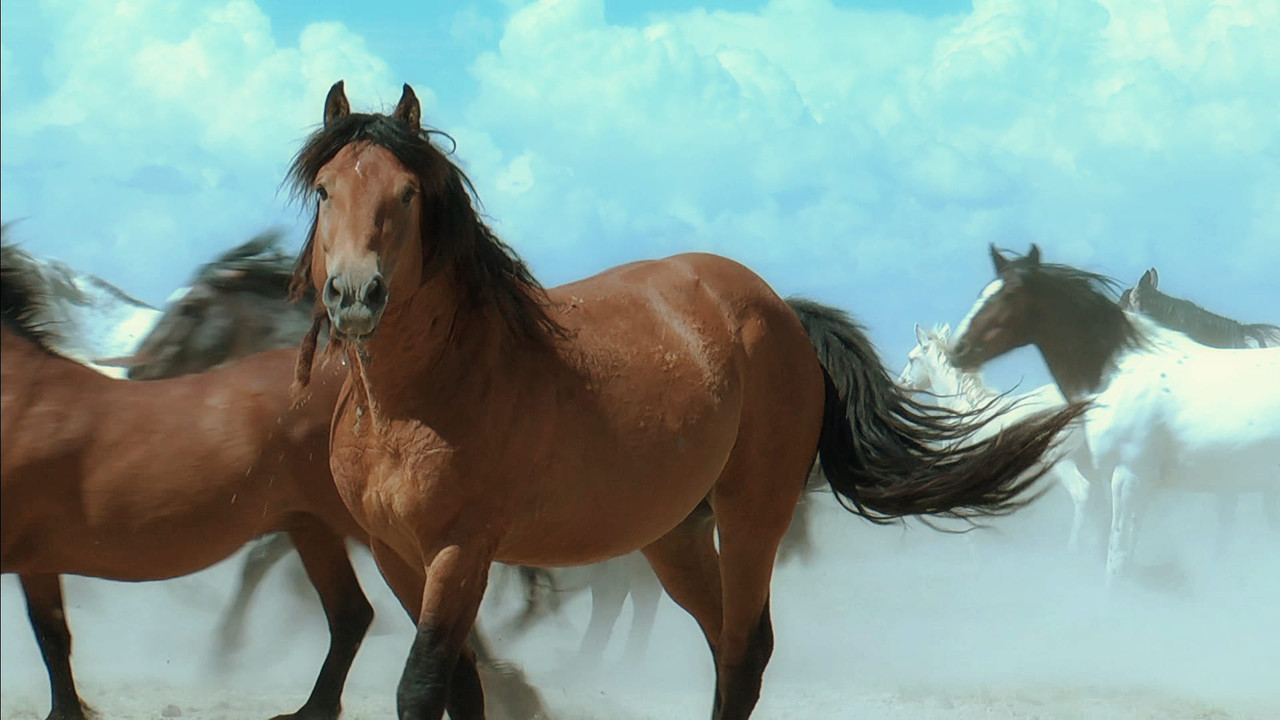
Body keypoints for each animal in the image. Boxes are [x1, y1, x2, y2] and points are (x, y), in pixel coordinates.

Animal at [1, 245, 372, 720]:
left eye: (192, 308)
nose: (140, 370)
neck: (23, 401)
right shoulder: (37, 562)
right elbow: (52, 635)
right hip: (313, 529)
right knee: (351, 615)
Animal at [899, 323, 1100, 554]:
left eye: (911, 359)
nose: (901, 385)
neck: (965, 408)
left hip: (1061, 460)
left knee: (1081, 491)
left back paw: (1072, 549)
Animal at [950, 244, 1280, 587]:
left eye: (1010, 294)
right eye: (983, 292)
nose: (958, 349)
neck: (1122, 371)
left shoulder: (1130, 479)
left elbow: (1118, 562)